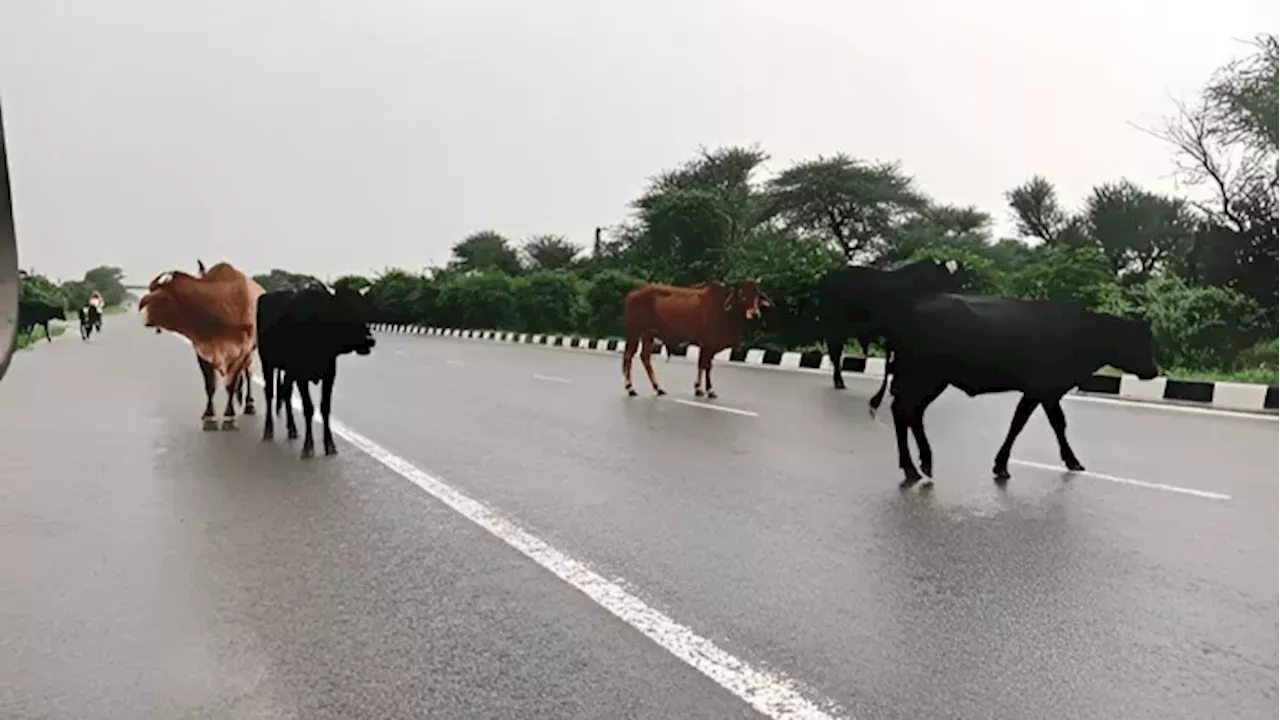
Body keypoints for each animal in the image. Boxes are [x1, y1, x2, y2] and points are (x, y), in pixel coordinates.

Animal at [138, 257, 263, 425]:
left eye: (160, 296)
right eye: (150, 289)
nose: (142, 313)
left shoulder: (242, 350)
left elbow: (231, 383)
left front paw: (229, 416)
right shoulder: (203, 349)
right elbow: (210, 384)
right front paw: (209, 415)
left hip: (251, 352)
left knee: (248, 374)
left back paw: (249, 404)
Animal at [257, 283, 376, 456]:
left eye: (365, 311)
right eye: (346, 311)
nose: (370, 340)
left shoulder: (329, 375)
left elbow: (325, 408)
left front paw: (330, 445)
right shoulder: (301, 376)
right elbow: (308, 408)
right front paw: (308, 446)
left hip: (288, 371)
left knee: (286, 393)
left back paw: (292, 429)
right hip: (267, 362)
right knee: (269, 393)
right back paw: (268, 430)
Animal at [619, 278, 768, 397]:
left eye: (756, 295)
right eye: (742, 294)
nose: (755, 314)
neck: (723, 310)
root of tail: (632, 293)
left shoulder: (709, 347)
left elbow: (704, 365)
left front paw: (703, 389)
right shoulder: (708, 344)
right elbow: (705, 365)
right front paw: (705, 390)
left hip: (647, 335)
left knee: (645, 358)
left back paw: (658, 388)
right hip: (634, 331)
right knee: (628, 355)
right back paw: (630, 388)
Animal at [880, 292, 1162, 486]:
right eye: (1134, 340)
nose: (1154, 370)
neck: (1081, 334)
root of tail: (908, 310)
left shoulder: (1046, 392)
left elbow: (1050, 423)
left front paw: (1070, 461)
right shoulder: (1041, 389)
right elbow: (1026, 423)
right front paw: (1003, 465)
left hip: (930, 379)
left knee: (911, 412)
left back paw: (923, 463)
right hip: (924, 375)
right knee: (903, 410)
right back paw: (911, 467)